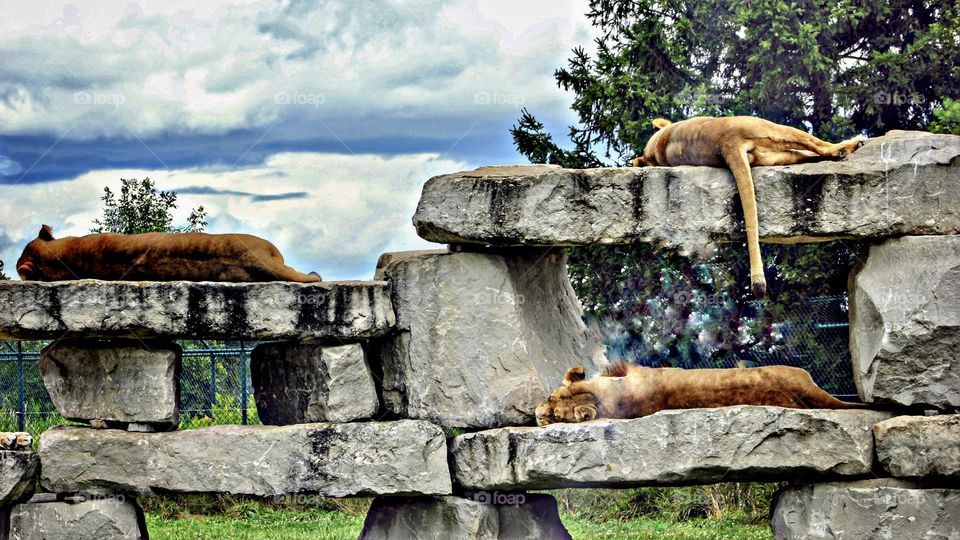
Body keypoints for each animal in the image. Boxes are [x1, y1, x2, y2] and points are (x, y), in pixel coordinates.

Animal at [631, 116, 866, 297]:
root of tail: (725, 142)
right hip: (768, 129)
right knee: (816, 146)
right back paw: (848, 146)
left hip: (771, 155)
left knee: (808, 154)